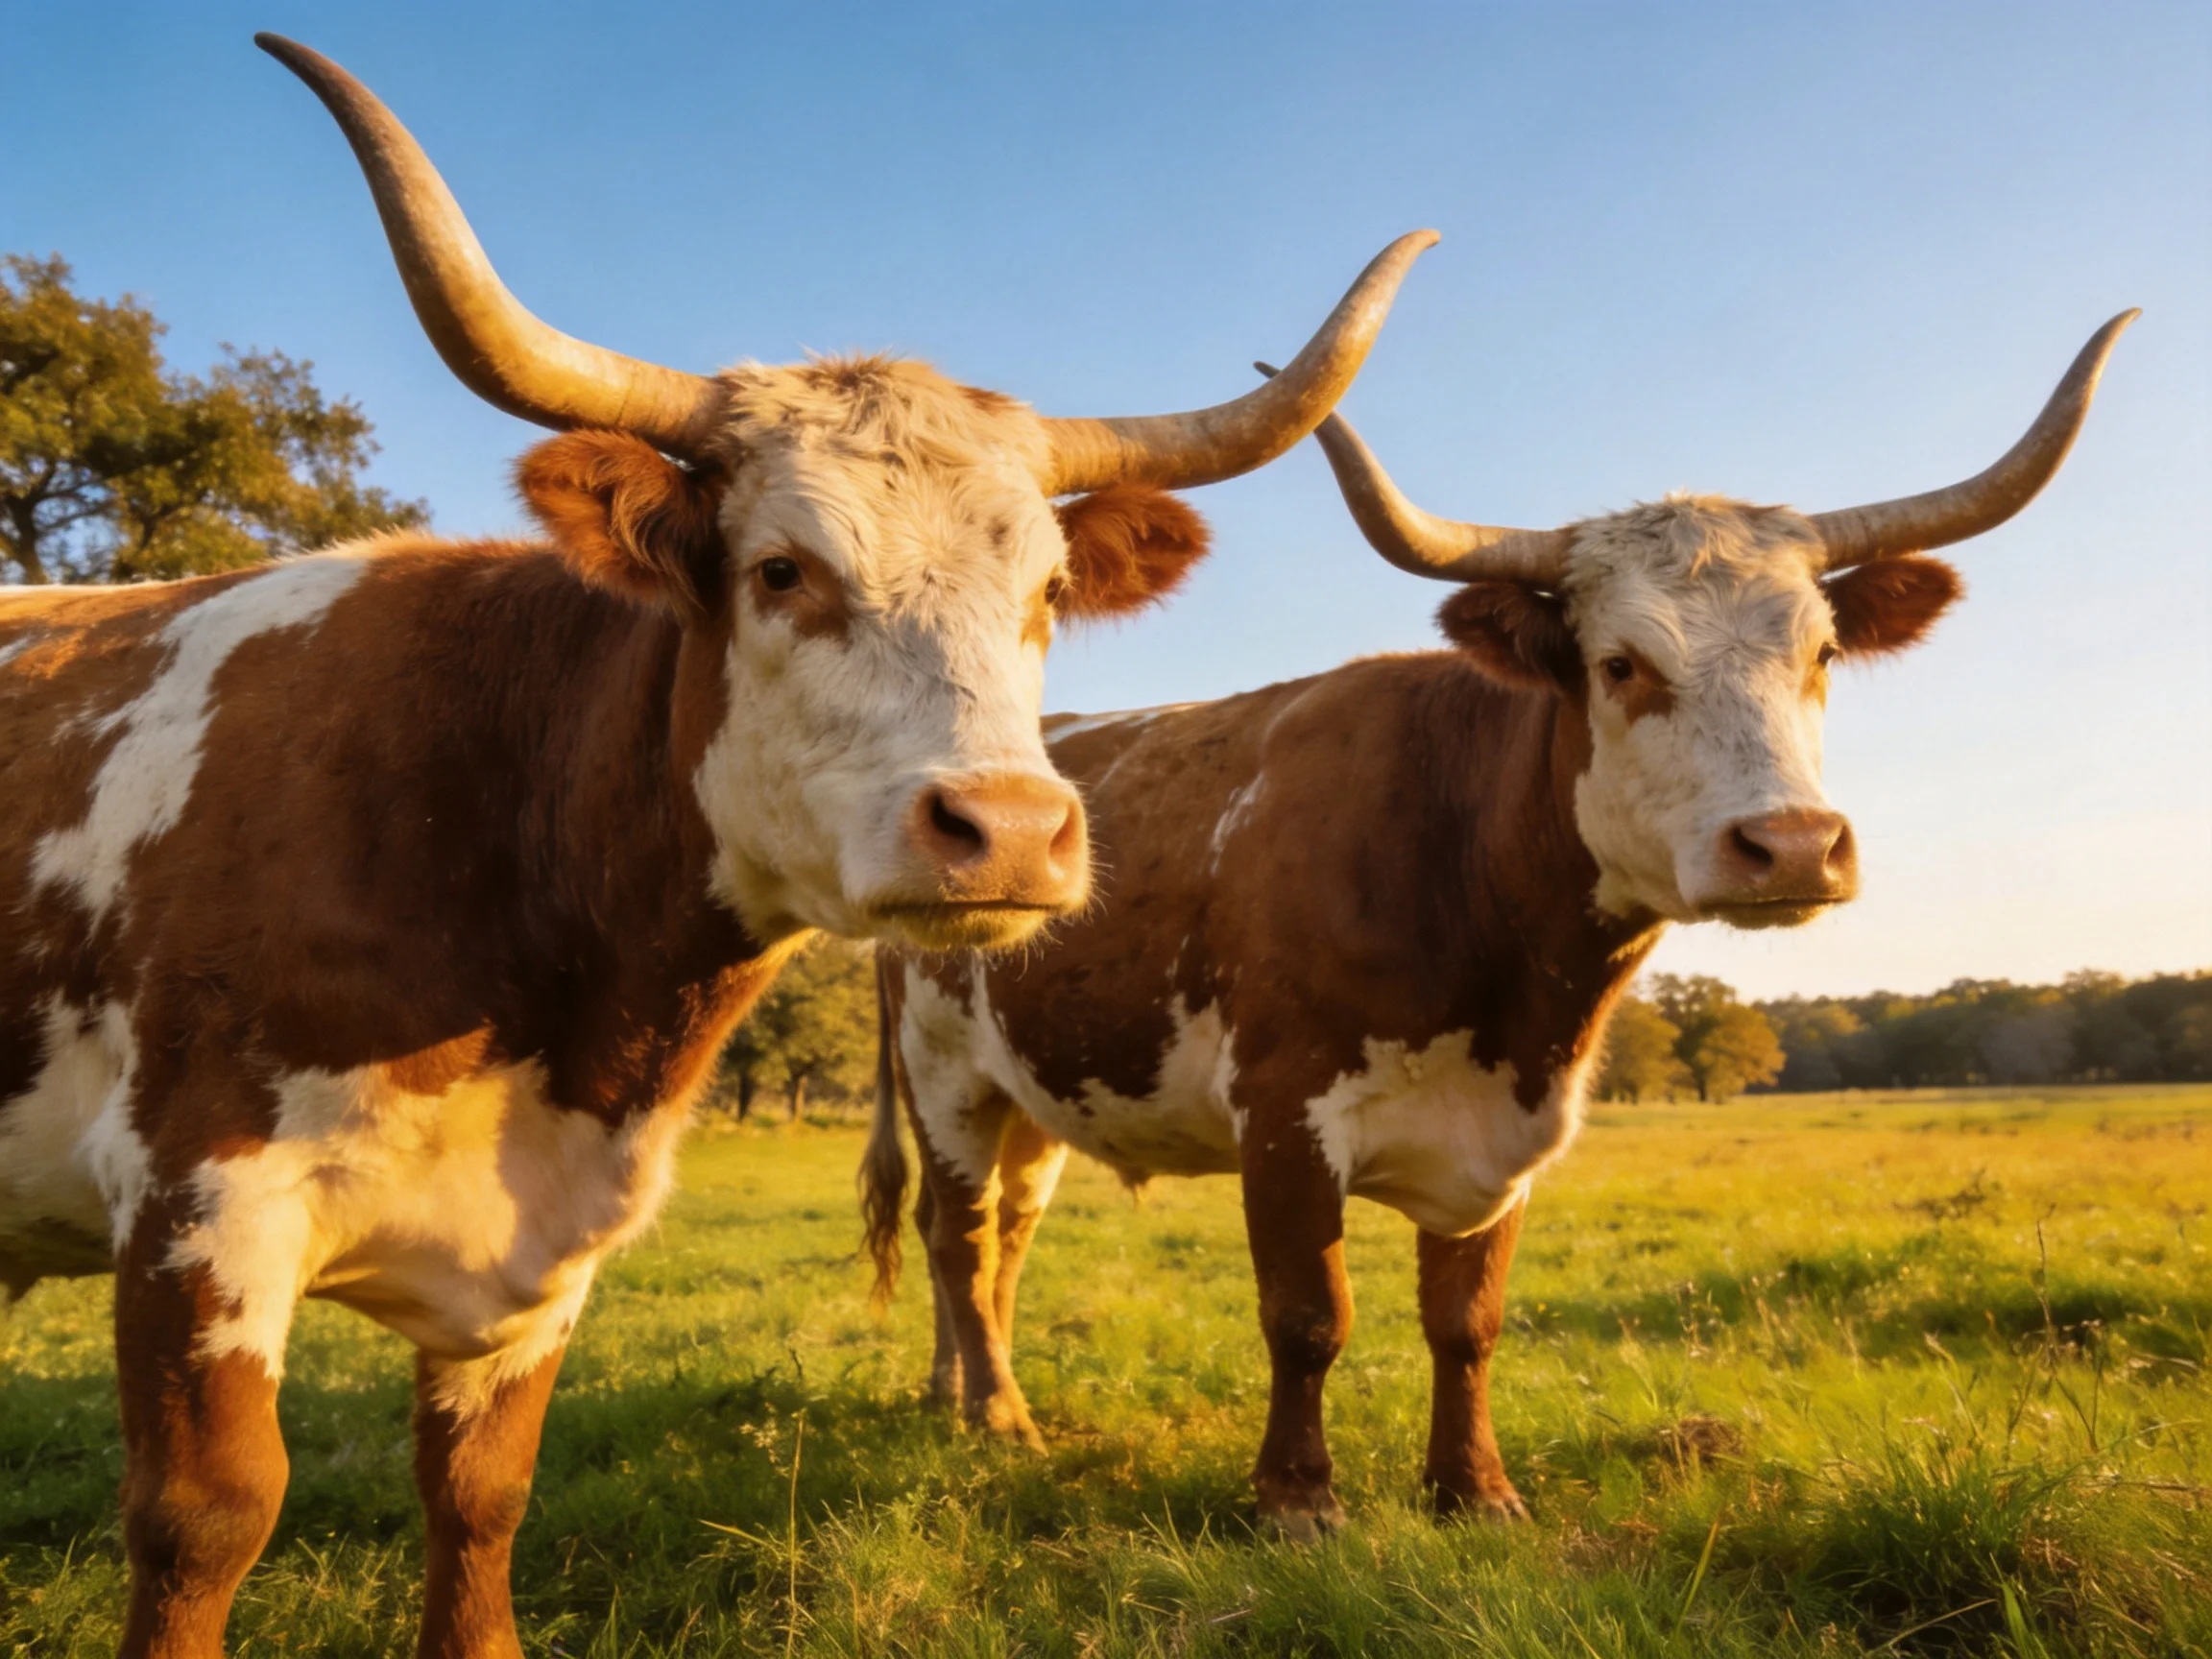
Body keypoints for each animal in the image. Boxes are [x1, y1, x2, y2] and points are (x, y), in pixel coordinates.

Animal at [0, 35, 1433, 1659]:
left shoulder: (538, 1253)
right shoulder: (197, 1211)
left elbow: (481, 1499)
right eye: (782, 570)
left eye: (1052, 592)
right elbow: (209, 1519)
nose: (1010, 830)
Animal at [862, 313, 2134, 1537]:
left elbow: (1467, 1322)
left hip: (1034, 1094)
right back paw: (996, 1417)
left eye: (1821, 653)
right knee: (957, 1232)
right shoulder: (1283, 1114)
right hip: (945, 1076)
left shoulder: (1504, 1139)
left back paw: (960, 1394)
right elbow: (1308, 1316)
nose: (1792, 847)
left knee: (1003, 1240)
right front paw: (1297, 1502)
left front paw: (1474, 1491)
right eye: (1620, 665)